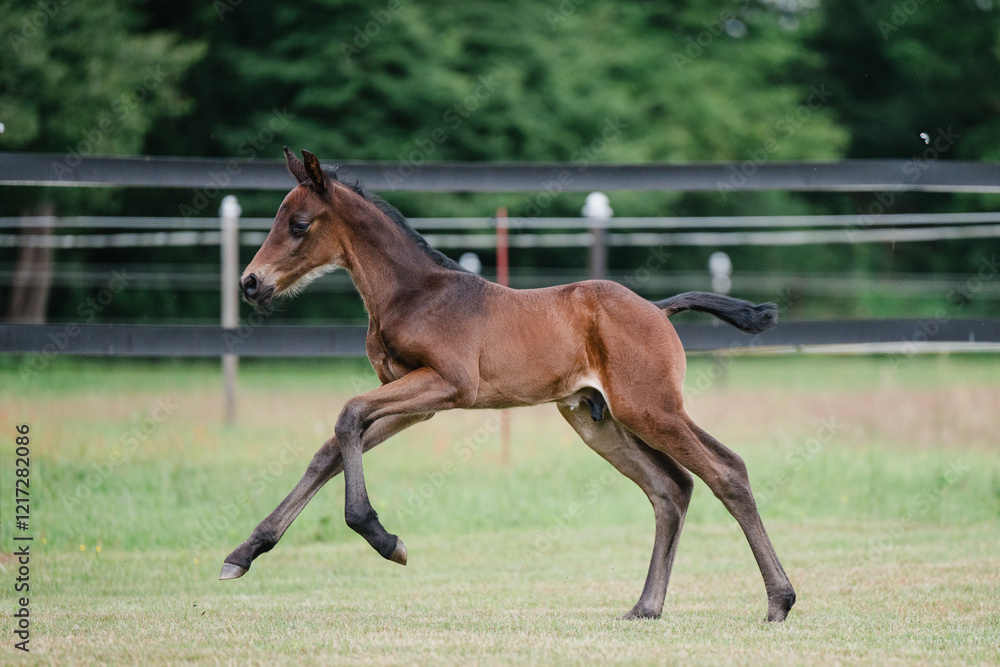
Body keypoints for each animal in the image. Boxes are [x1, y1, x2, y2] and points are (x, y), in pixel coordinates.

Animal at [220, 147, 796, 623]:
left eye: (298, 224)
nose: (250, 283)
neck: (414, 293)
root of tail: (657, 309)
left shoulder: (448, 385)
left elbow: (346, 415)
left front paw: (383, 538)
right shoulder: (415, 402)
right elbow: (333, 446)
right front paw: (243, 554)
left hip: (651, 408)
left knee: (726, 471)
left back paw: (779, 601)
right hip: (599, 420)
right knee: (670, 488)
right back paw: (647, 606)